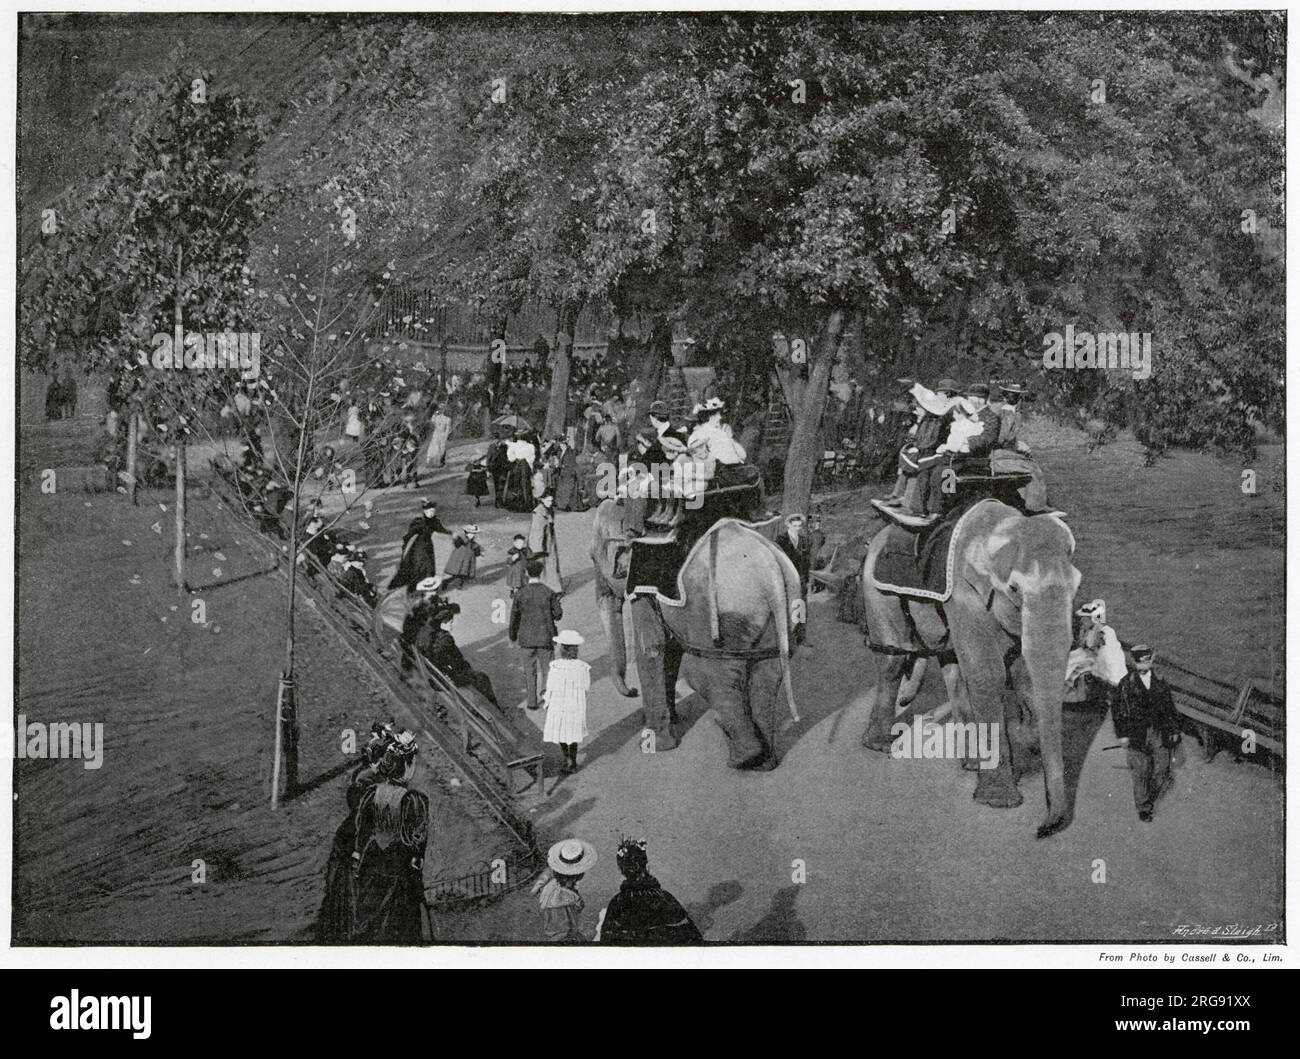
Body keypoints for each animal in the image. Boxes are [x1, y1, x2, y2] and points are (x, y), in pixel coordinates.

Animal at [857, 501, 1081, 842]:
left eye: (1076, 588)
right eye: (1014, 588)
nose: (1043, 829)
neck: (1004, 524)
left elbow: (1021, 675)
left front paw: (1021, 737)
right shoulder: (964, 595)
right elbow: (988, 674)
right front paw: (1000, 800)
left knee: (952, 666)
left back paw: (972, 763)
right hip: (878, 592)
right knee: (894, 659)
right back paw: (880, 745)